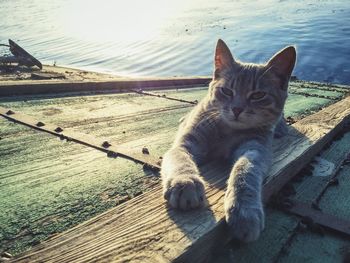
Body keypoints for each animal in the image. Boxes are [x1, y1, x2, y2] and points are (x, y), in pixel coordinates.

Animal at [161, 39, 296, 243]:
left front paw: (244, 209)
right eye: (226, 91)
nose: (237, 109)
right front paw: (185, 182)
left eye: (258, 95)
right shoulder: (185, 143)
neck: (227, 130)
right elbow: (180, 159)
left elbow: (245, 170)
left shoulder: (256, 148)